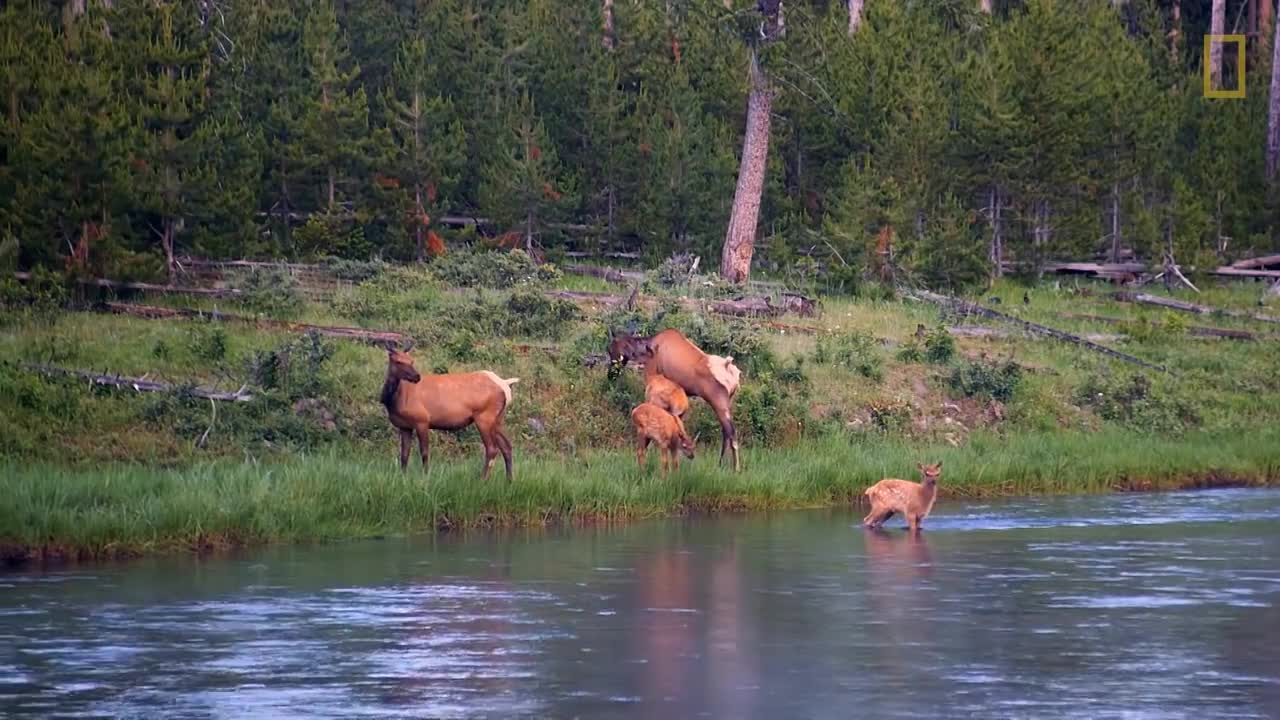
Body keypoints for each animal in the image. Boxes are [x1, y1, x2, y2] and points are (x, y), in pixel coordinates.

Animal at [378, 343, 519, 481]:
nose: (416, 376)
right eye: (398, 361)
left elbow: (424, 452)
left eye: (411, 361)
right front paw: (403, 477)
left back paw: (483, 480)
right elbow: (404, 455)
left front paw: (425, 477)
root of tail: (505, 385)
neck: (394, 401)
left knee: (492, 448)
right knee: (507, 446)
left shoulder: (422, 420)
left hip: (484, 416)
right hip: (498, 418)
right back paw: (509, 480)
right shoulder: (404, 426)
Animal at [606, 326, 747, 471]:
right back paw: (720, 464)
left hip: (718, 402)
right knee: (726, 432)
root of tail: (732, 374)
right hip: (728, 402)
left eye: (610, 349)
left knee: (731, 432)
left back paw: (736, 468)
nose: (611, 375)